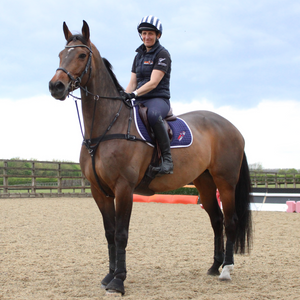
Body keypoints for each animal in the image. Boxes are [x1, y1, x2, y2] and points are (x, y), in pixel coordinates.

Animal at [49, 21, 253, 296]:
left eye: (81, 55)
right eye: (61, 54)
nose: (56, 87)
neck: (107, 125)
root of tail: (232, 127)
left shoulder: (124, 188)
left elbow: (121, 234)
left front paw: (118, 281)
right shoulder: (99, 191)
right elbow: (109, 233)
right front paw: (109, 275)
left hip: (226, 183)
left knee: (230, 221)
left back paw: (227, 270)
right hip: (205, 183)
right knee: (216, 220)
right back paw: (214, 266)